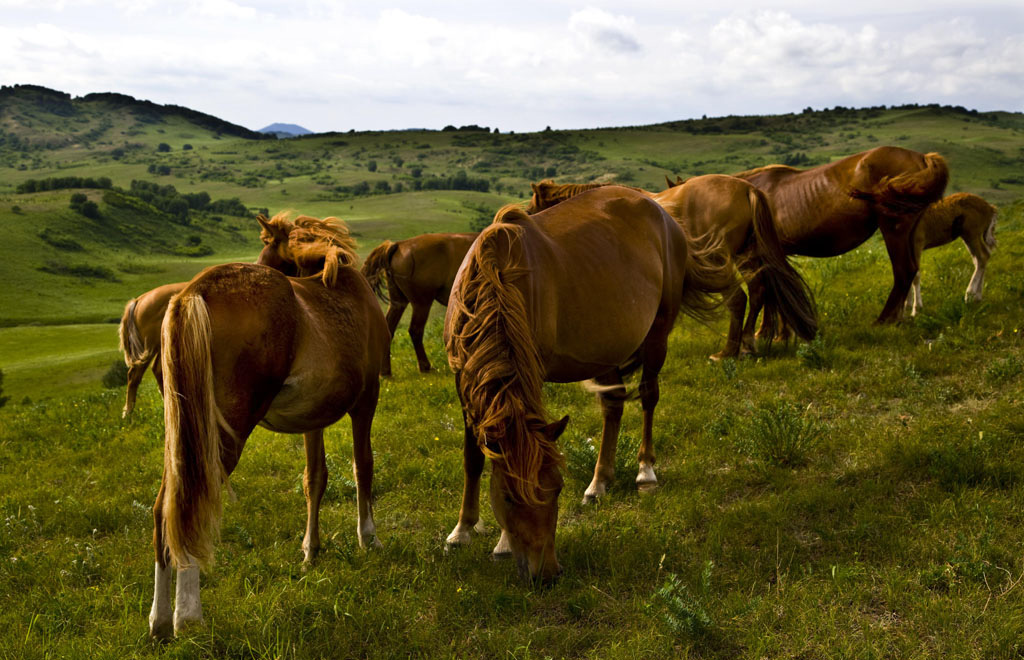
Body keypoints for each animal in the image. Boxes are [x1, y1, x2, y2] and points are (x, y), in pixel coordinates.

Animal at [144, 212, 385, 638]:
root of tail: (192, 294)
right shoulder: (365, 402)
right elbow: (363, 467)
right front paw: (367, 537)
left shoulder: (313, 419)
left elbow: (315, 479)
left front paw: (310, 550)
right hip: (220, 440)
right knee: (192, 507)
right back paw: (188, 616)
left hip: (183, 442)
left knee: (165, 510)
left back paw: (159, 620)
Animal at [362, 231, 477, 376]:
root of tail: (399, 245)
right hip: (422, 303)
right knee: (415, 330)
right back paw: (425, 366)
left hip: (398, 302)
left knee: (389, 329)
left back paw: (385, 371)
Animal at [442, 185, 737, 577]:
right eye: (507, 497)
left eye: (557, 489)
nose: (546, 572)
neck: (497, 280)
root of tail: (661, 210)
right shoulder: (463, 379)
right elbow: (473, 457)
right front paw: (462, 530)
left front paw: (500, 543)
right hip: (606, 349)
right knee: (613, 406)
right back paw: (600, 482)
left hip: (658, 333)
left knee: (648, 396)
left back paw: (645, 471)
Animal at [528, 174, 815, 358]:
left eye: (531, 207)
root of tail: (746, 189)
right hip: (746, 257)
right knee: (757, 291)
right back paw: (746, 344)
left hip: (718, 262)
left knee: (738, 299)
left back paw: (727, 352)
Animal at [733, 147, 946, 327]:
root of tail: (923, 158)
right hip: (911, 232)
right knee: (912, 272)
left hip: (894, 230)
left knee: (903, 271)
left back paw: (884, 320)